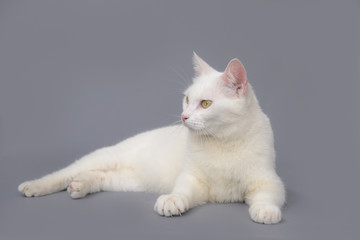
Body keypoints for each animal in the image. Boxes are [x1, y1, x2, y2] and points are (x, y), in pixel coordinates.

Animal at [18, 53, 286, 225]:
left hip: (128, 182)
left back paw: (79, 185)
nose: (184, 116)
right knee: (64, 172)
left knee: (100, 176)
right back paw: (33, 186)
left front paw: (265, 212)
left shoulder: (268, 181)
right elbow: (182, 191)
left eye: (206, 104)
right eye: (187, 99)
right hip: (105, 157)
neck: (222, 141)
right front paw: (171, 202)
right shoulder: (192, 178)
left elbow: (267, 196)